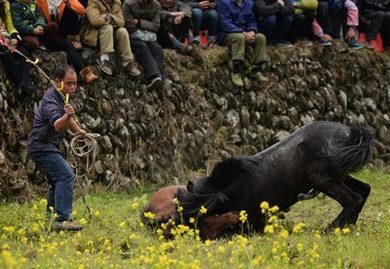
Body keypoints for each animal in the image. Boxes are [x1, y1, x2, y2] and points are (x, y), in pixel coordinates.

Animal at [177, 121, 374, 232]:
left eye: (197, 215)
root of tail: (350, 133)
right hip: (338, 176)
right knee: (364, 190)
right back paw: (348, 228)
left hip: (324, 181)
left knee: (353, 199)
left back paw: (331, 230)